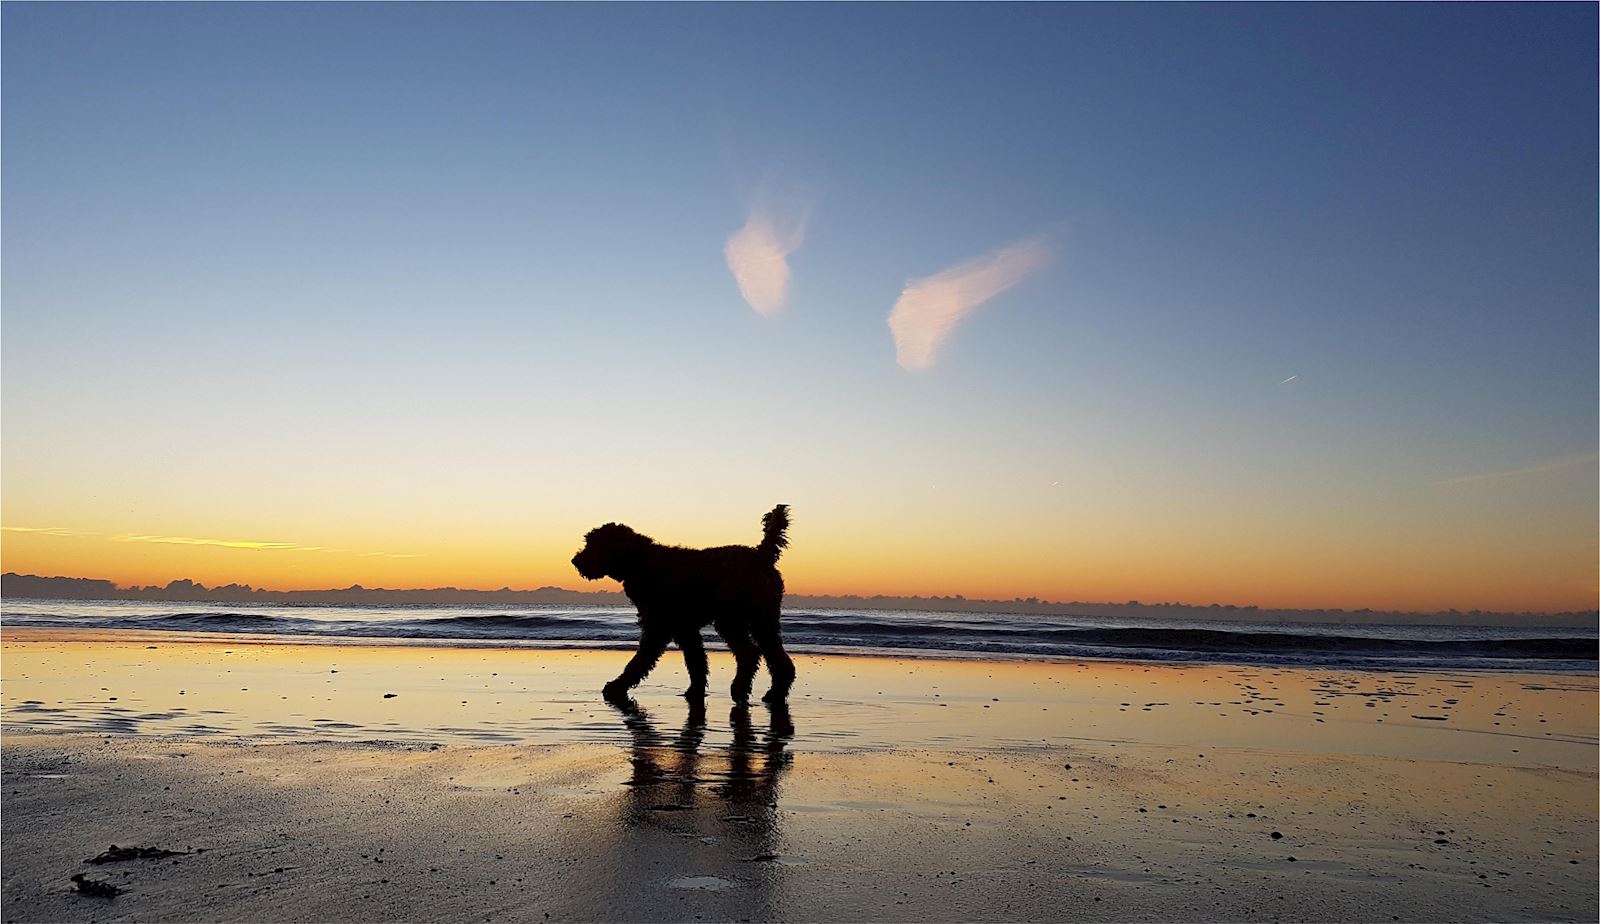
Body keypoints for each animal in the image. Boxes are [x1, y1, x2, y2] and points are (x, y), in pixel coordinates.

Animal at [576, 498, 800, 700]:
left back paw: (754, 690)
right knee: (764, 654)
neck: (642, 563)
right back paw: (768, 692)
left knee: (754, 654)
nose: (575, 560)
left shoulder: (660, 626)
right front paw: (695, 690)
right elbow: (696, 661)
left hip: (741, 618)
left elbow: (640, 661)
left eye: (594, 545)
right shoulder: (684, 629)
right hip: (752, 620)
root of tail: (761, 555)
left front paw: (617, 686)